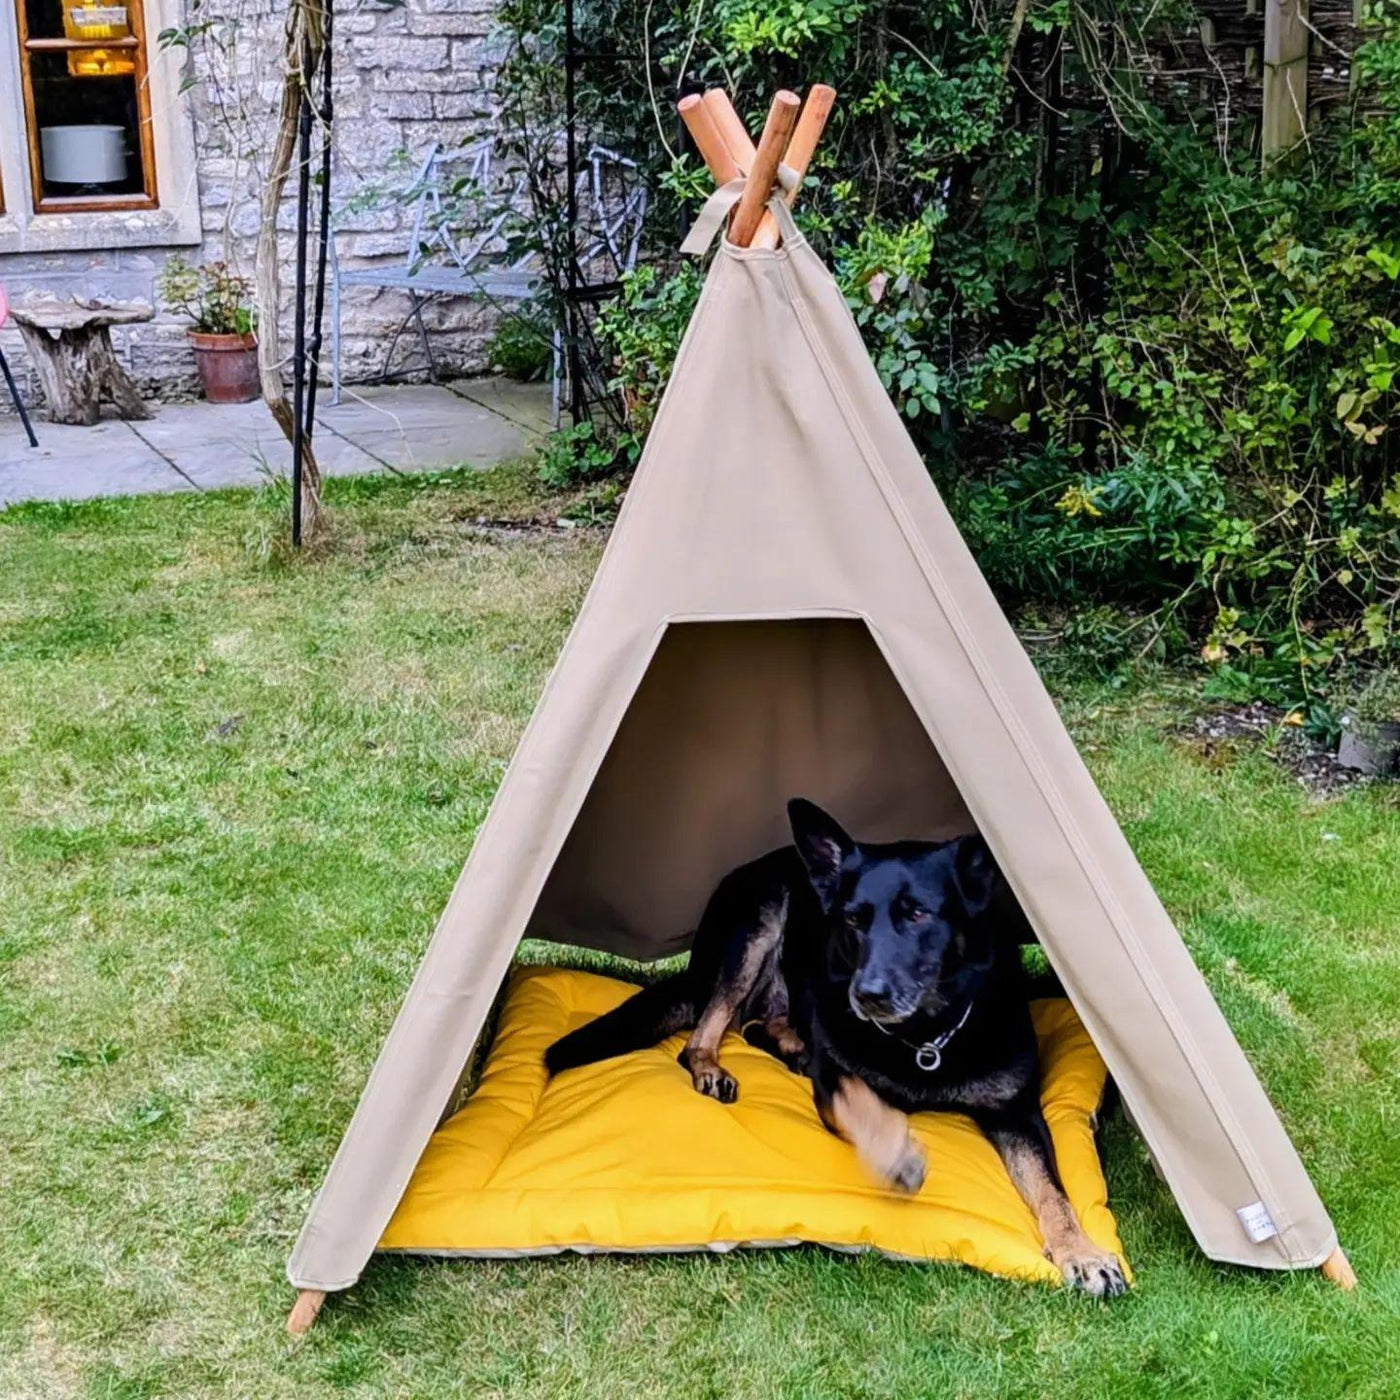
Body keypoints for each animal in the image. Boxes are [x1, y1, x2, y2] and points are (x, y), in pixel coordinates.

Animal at [543, 800, 1125, 1299]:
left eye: (918, 915)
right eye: (852, 919)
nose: (866, 995)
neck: (923, 1038)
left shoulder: (1018, 1114)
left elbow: (1053, 1192)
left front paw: (1081, 1251)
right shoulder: (835, 1080)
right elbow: (861, 1100)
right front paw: (894, 1150)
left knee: (758, 1023)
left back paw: (788, 1043)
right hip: (756, 920)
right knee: (704, 1032)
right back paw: (713, 1067)